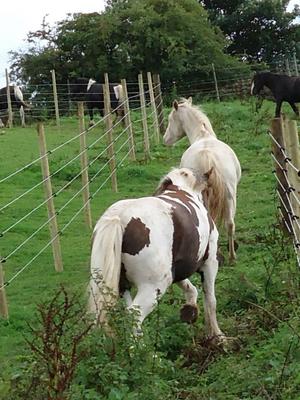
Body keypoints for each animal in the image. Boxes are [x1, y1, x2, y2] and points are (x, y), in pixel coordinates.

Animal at [89, 167, 225, 340]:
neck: (183, 189)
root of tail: (119, 218)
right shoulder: (210, 263)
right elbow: (211, 300)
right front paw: (217, 336)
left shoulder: (176, 269)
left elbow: (190, 288)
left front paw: (190, 311)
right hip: (154, 287)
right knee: (134, 315)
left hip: (122, 285)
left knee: (128, 315)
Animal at [163, 97, 240, 262]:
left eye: (170, 119)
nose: (165, 139)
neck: (203, 136)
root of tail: (207, 157)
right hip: (229, 196)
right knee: (229, 224)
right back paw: (231, 256)